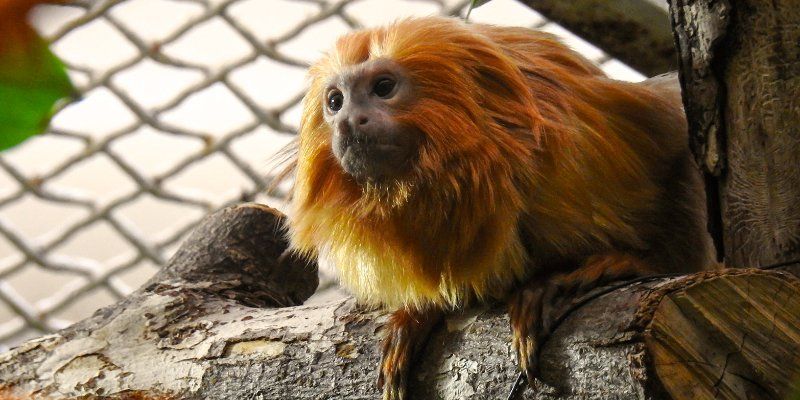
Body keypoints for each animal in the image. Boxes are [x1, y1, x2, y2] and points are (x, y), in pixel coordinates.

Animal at [283, 17, 716, 399]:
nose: (349, 121)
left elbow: (677, 133)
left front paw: (632, 263)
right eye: (335, 102)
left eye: (384, 87)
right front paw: (418, 316)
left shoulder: (592, 128)